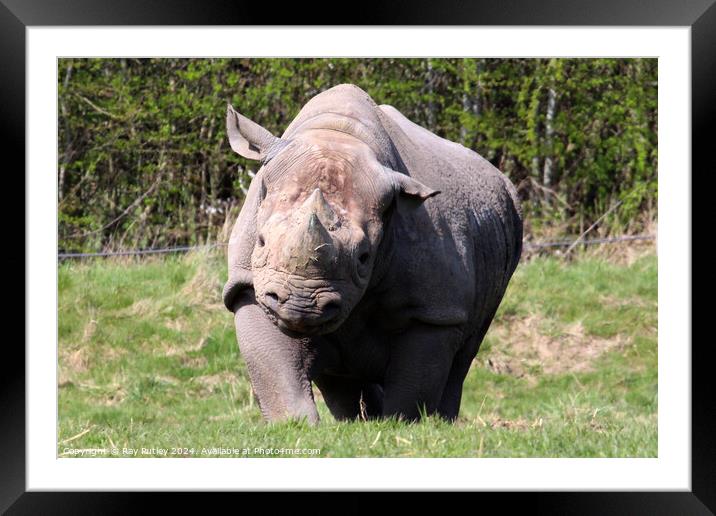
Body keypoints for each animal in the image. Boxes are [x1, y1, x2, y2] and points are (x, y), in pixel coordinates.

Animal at [221, 83, 524, 424]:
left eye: (364, 257)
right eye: (260, 242)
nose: (301, 305)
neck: (338, 134)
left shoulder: (436, 309)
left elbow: (414, 386)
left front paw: (401, 425)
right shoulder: (250, 284)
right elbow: (275, 373)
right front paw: (295, 425)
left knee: (462, 359)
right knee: (341, 377)